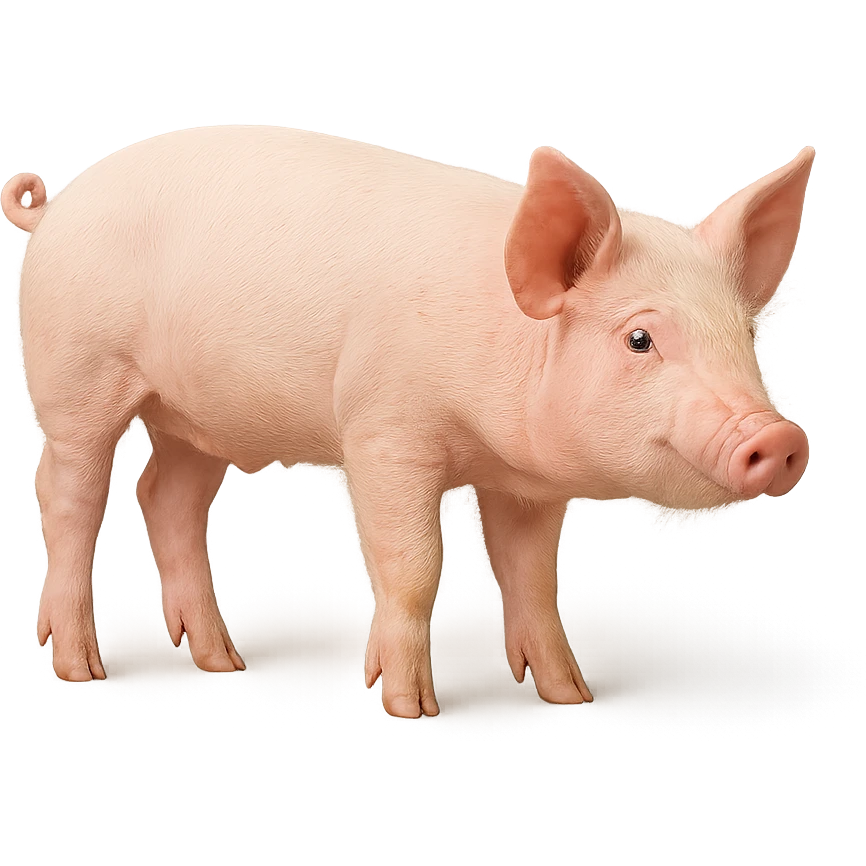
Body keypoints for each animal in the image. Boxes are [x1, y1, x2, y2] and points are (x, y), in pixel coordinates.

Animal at [3, 128, 814, 719]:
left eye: (745, 333)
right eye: (640, 339)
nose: (775, 436)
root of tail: (56, 204)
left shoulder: (529, 484)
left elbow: (533, 579)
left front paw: (568, 696)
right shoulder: (385, 431)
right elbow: (414, 568)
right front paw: (409, 708)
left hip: (197, 416)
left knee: (167, 498)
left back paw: (221, 661)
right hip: (74, 372)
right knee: (69, 502)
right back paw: (81, 668)